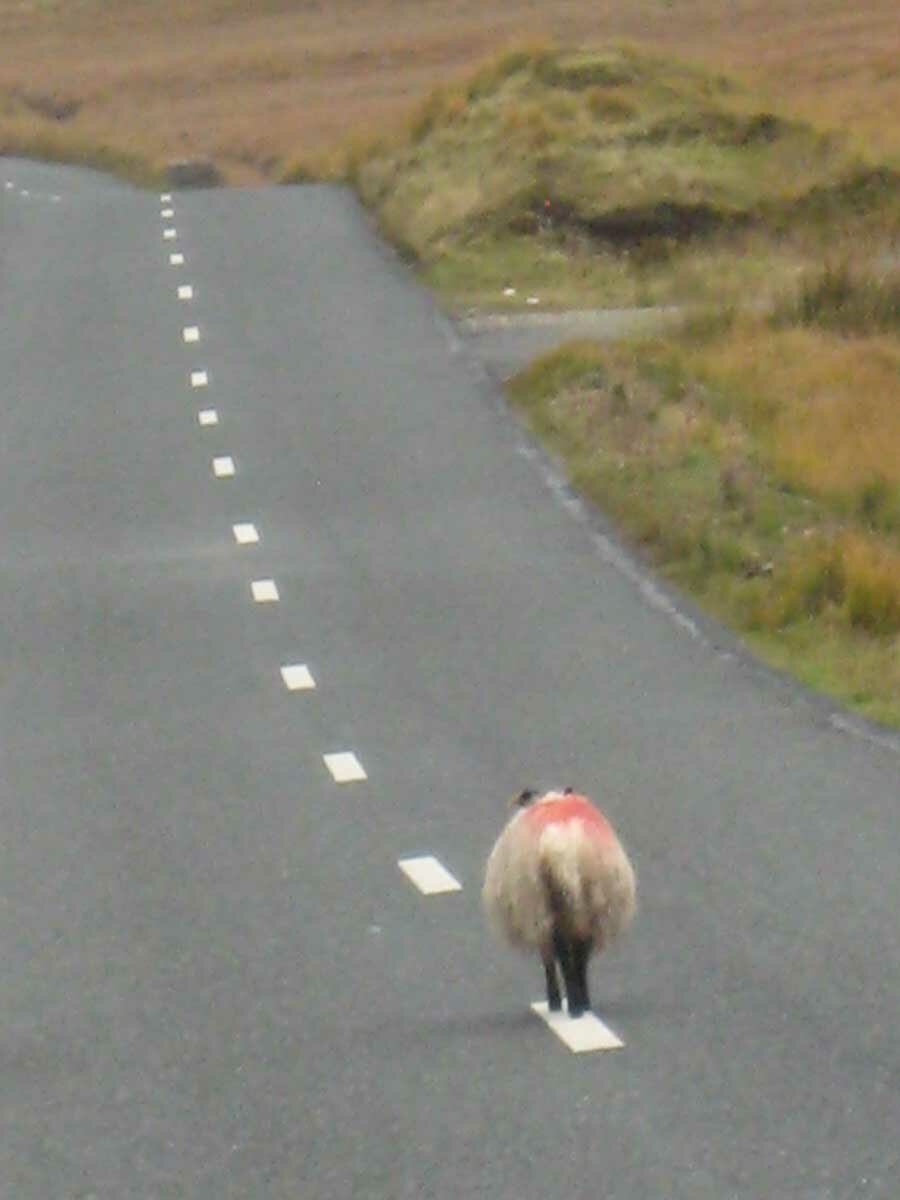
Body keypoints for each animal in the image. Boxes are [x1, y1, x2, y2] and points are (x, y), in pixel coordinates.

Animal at [483, 788, 636, 1018]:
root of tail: (560, 845)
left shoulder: (538, 920)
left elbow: (549, 959)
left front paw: (554, 1000)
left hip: (549, 905)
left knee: (564, 951)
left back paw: (572, 1003)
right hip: (585, 903)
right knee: (579, 949)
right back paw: (580, 1002)